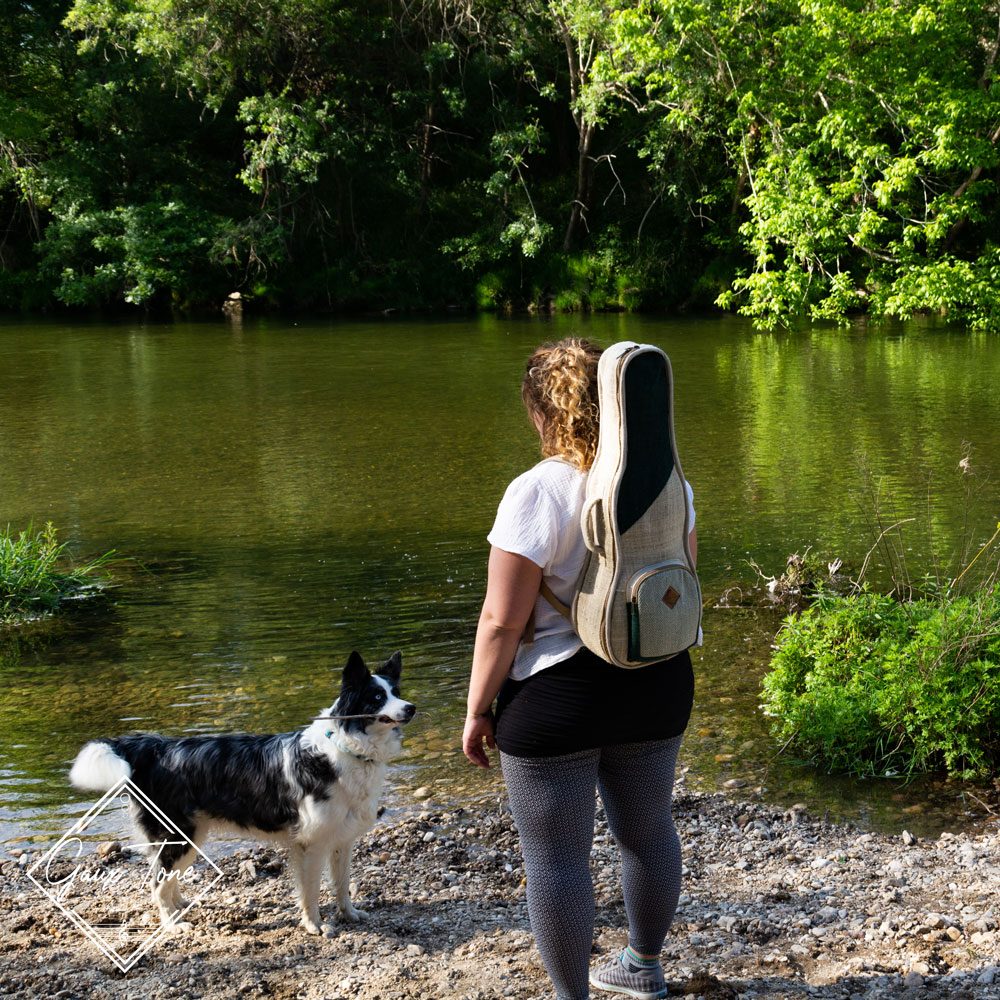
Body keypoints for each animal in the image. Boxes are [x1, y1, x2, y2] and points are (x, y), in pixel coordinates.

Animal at [69, 652, 414, 932]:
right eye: (376, 697)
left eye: (396, 693)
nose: (411, 708)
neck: (345, 748)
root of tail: (151, 747)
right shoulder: (311, 843)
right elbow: (312, 890)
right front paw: (314, 925)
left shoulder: (341, 838)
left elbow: (342, 884)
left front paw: (349, 914)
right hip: (179, 834)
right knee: (156, 883)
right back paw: (171, 925)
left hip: (188, 836)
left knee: (166, 878)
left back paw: (180, 906)